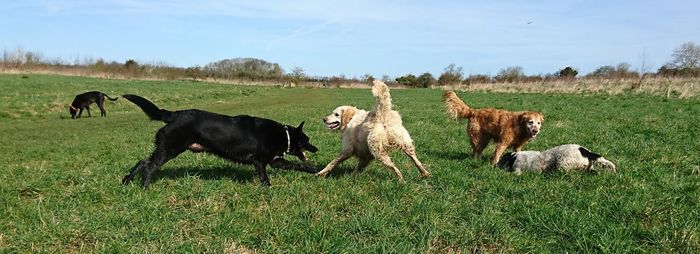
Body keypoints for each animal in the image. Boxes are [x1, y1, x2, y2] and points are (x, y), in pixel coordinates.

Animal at [121, 94, 318, 188]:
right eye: (307, 140)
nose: (316, 148)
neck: (282, 134)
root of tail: (174, 115)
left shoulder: (276, 161)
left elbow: (298, 165)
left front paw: (314, 170)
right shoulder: (260, 162)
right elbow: (264, 178)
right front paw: (268, 190)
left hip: (164, 148)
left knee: (143, 161)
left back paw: (127, 181)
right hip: (170, 149)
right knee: (150, 167)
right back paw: (145, 188)